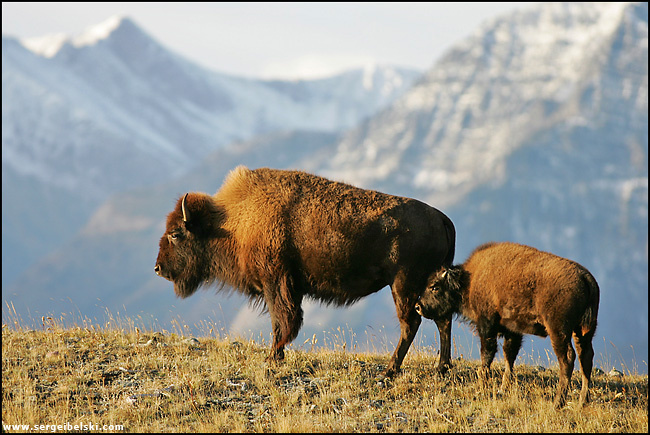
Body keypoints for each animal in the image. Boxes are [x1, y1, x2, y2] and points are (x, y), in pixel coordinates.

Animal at [155, 166, 456, 377]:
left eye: (176, 233)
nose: (158, 268)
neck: (236, 220)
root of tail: (441, 217)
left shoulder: (276, 283)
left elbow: (282, 322)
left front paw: (272, 358)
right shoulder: (287, 287)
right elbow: (284, 321)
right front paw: (276, 357)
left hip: (403, 286)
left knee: (411, 323)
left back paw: (390, 371)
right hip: (429, 286)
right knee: (442, 321)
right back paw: (441, 368)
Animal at [415, 241, 600, 408]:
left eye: (434, 287)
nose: (418, 306)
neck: (470, 280)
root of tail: (585, 277)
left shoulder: (487, 324)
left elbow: (487, 354)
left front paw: (482, 385)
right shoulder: (513, 330)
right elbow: (509, 355)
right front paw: (504, 387)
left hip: (558, 330)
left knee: (567, 359)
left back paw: (557, 403)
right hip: (584, 331)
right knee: (585, 357)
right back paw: (582, 401)